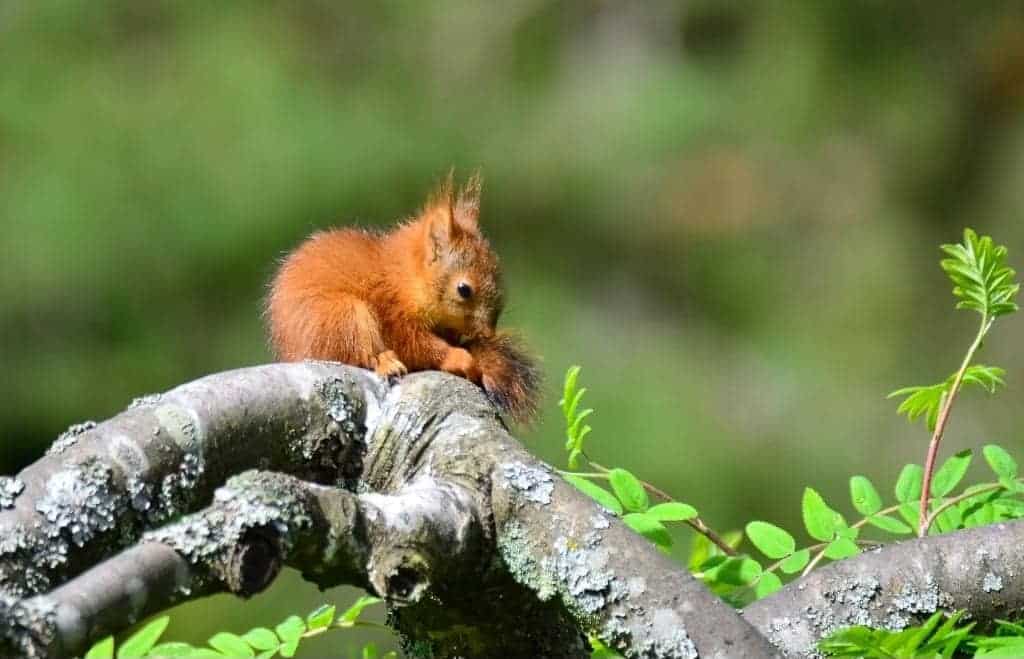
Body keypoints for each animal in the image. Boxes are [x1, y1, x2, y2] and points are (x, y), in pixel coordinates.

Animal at [265, 174, 540, 423]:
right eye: (464, 289)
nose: (488, 333)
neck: (408, 280)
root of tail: (294, 353)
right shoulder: (393, 314)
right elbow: (417, 345)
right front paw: (459, 357)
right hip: (342, 317)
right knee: (356, 353)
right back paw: (385, 362)